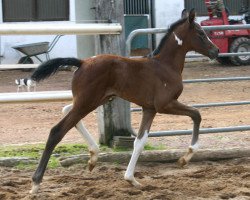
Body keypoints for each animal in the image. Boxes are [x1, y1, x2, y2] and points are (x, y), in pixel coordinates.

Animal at [29, 9, 218, 194]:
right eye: (201, 33)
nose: (215, 51)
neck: (165, 65)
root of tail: (82, 62)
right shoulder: (165, 104)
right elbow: (197, 114)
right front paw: (186, 158)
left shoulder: (149, 109)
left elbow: (140, 141)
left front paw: (131, 179)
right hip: (87, 101)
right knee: (57, 130)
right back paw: (36, 183)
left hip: (94, 100)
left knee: (67, 110)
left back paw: (93, 157)